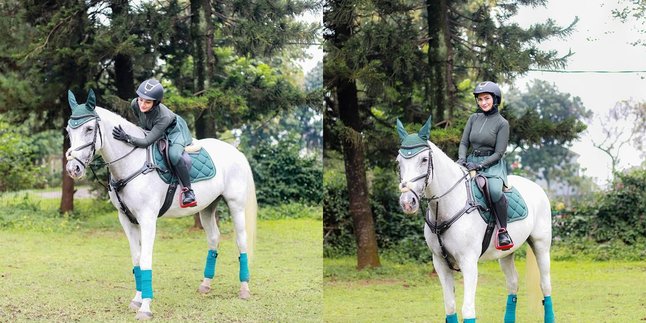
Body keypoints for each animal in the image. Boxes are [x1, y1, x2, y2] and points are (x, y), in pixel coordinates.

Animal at [66, 90, 256, 320]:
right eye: (68, 130)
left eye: (89, 129)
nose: (73, 168)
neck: (132, 163)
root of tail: (236, 151)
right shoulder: (126, 220)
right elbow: (137, 259)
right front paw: (137, 300)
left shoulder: (147, 219)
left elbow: (146, 259)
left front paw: (145, 308)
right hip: (207, 207)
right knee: (213, 239)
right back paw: (205, 285)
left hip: (236, 205)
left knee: (241, 241)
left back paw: (244, 289)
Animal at [398, 117, 556, 323]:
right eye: (399, 162)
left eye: (424, 159)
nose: (407, 202)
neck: (449, 205)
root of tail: (536, 187)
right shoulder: (440, 263)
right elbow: (450, 306)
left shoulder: (469, 262)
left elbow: (468, 309)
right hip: (506, 253)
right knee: (513, 284)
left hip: (541, 245)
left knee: (545, 285)